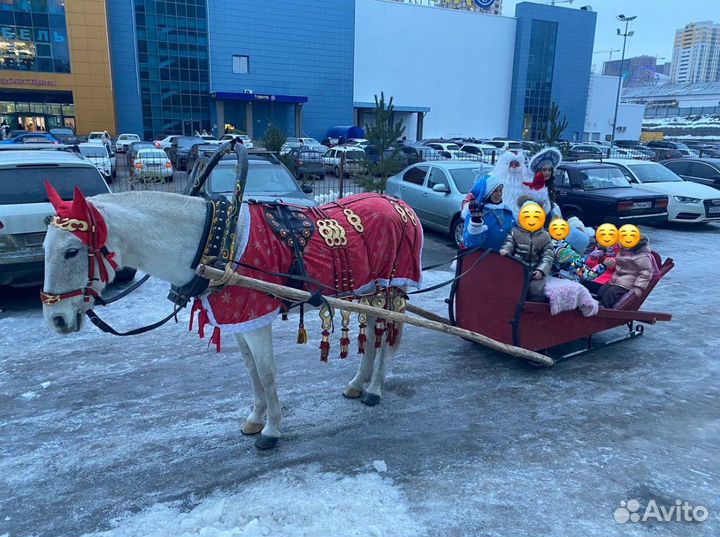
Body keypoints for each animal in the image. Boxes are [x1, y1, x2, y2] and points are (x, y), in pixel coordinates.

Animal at [42, 191, 408, 450]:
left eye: (71, 251)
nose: (56, 319)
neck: (215, 243)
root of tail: (398, 203)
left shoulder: (255, 318)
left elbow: (267, 373)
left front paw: (271, 430)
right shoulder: (239, 320)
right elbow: (251, 371)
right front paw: (256, 419)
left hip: (390, 289)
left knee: (387, 336)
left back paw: (375, 388)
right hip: (368, 293)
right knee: (373, 334)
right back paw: (358, 383)